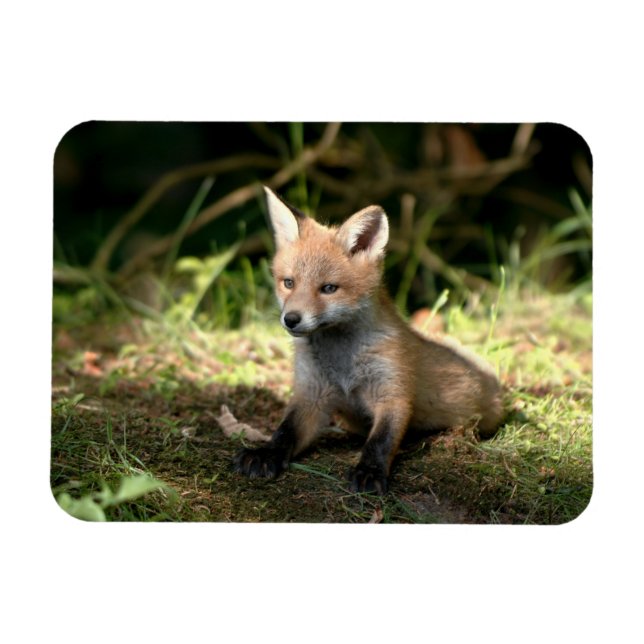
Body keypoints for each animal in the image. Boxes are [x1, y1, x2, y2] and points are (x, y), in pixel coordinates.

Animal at [233, 186, 504, 494]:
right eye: (288, 283)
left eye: (328, 288)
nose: (291, 319)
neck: (342, 361)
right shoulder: (311, 394)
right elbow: (285, 431)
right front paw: (265, 453)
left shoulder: (392, 392)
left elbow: (380, 441)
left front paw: (370, 471)